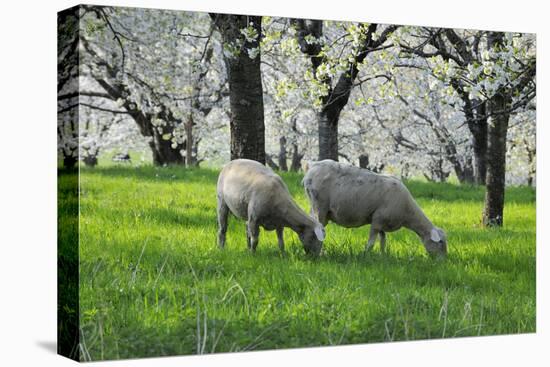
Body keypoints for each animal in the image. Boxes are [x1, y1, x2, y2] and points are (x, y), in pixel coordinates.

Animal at [302, 161, 448, 258]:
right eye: (440, 242)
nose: (443, 261)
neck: (408, 213)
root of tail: (311, 170)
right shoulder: (377, 220)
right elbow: (372, 241)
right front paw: (365, 255)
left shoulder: (384, 221)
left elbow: (383, 241)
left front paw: (383, 256)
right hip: (319, 206)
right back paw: (320, 253)